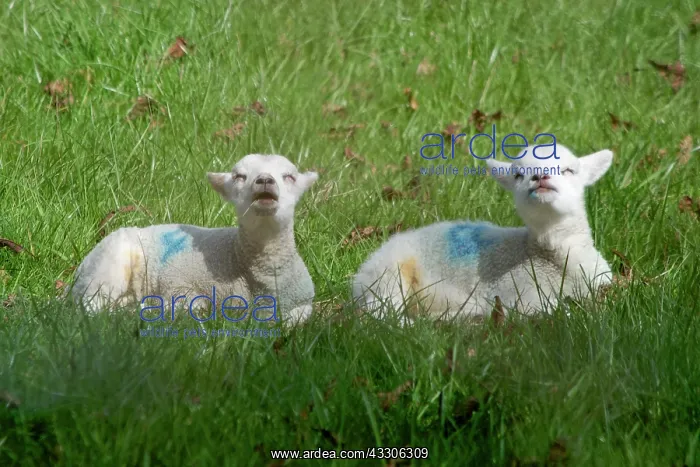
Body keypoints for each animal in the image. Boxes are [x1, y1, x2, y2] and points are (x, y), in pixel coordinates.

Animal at [70, 154, 319, 325]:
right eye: (239, 176)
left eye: (290, 176)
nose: (265, 180)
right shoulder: (178, 282)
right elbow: (195, 305)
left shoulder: (303, 302)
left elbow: (298, 317)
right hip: (107, 268)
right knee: (91, 306)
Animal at [352, 145, 613, 321]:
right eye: (518, 174)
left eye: (569, 170)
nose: (539, 177)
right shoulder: (519, 289)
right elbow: (555, 312)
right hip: (388, 273)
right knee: (382, 314)